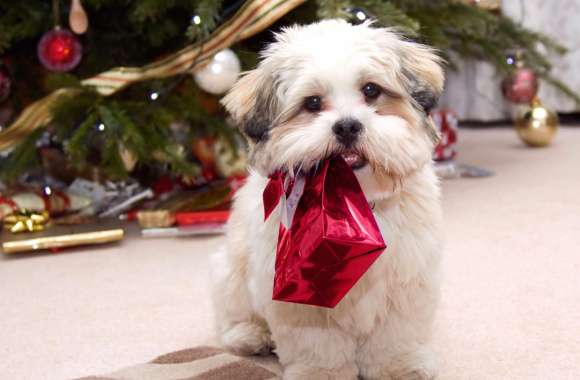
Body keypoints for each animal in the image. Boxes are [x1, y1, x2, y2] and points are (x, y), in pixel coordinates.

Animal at [212, 19, 444, 378]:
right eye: (312, 103)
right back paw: (249, 334)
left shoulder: (406, 279)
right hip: (231, 271)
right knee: (233, 313)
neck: (353, 202)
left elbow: (395, 334)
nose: (347, 126)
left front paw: (398, 364)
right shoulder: (298, 293)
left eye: (371, 90)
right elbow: (317, 343)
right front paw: (320, 372)